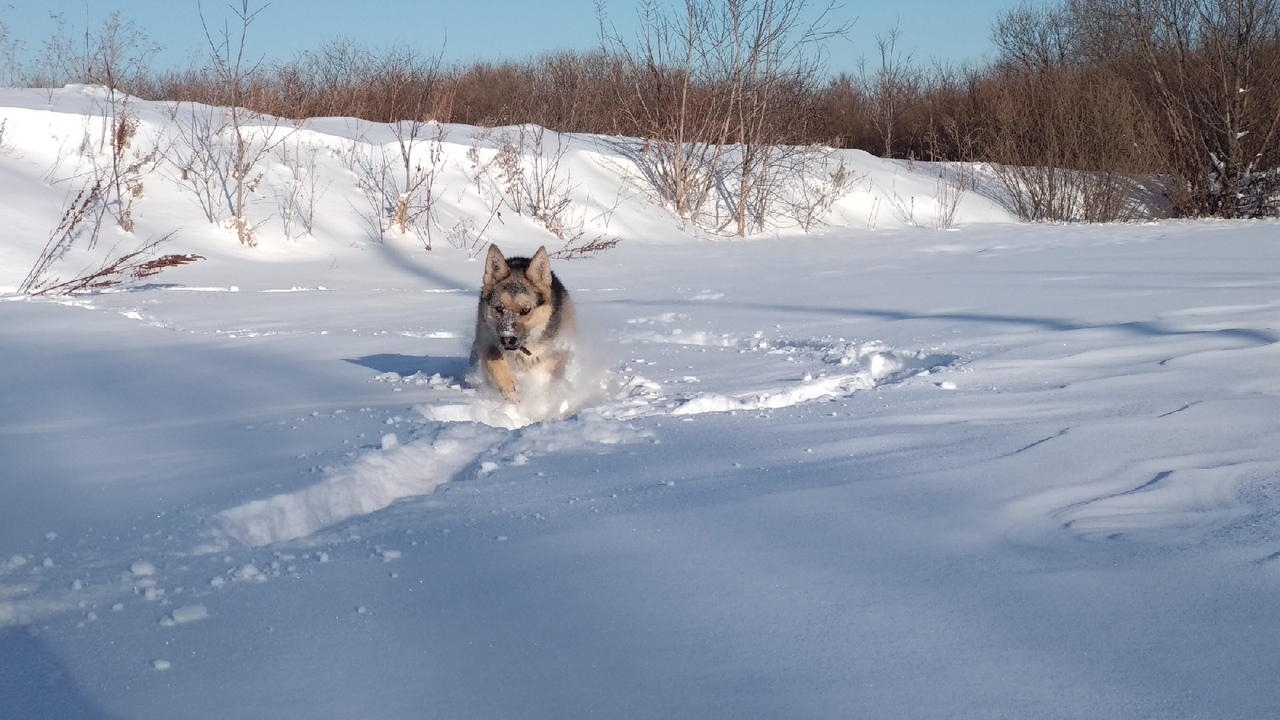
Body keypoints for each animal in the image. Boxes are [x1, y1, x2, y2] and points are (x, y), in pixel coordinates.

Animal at [468, 243, 573, 404]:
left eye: (525, 310)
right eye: (499, 308)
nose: (507, 339)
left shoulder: (557, 349)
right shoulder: (485, 339)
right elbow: (493, 357)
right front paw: (511, 390)